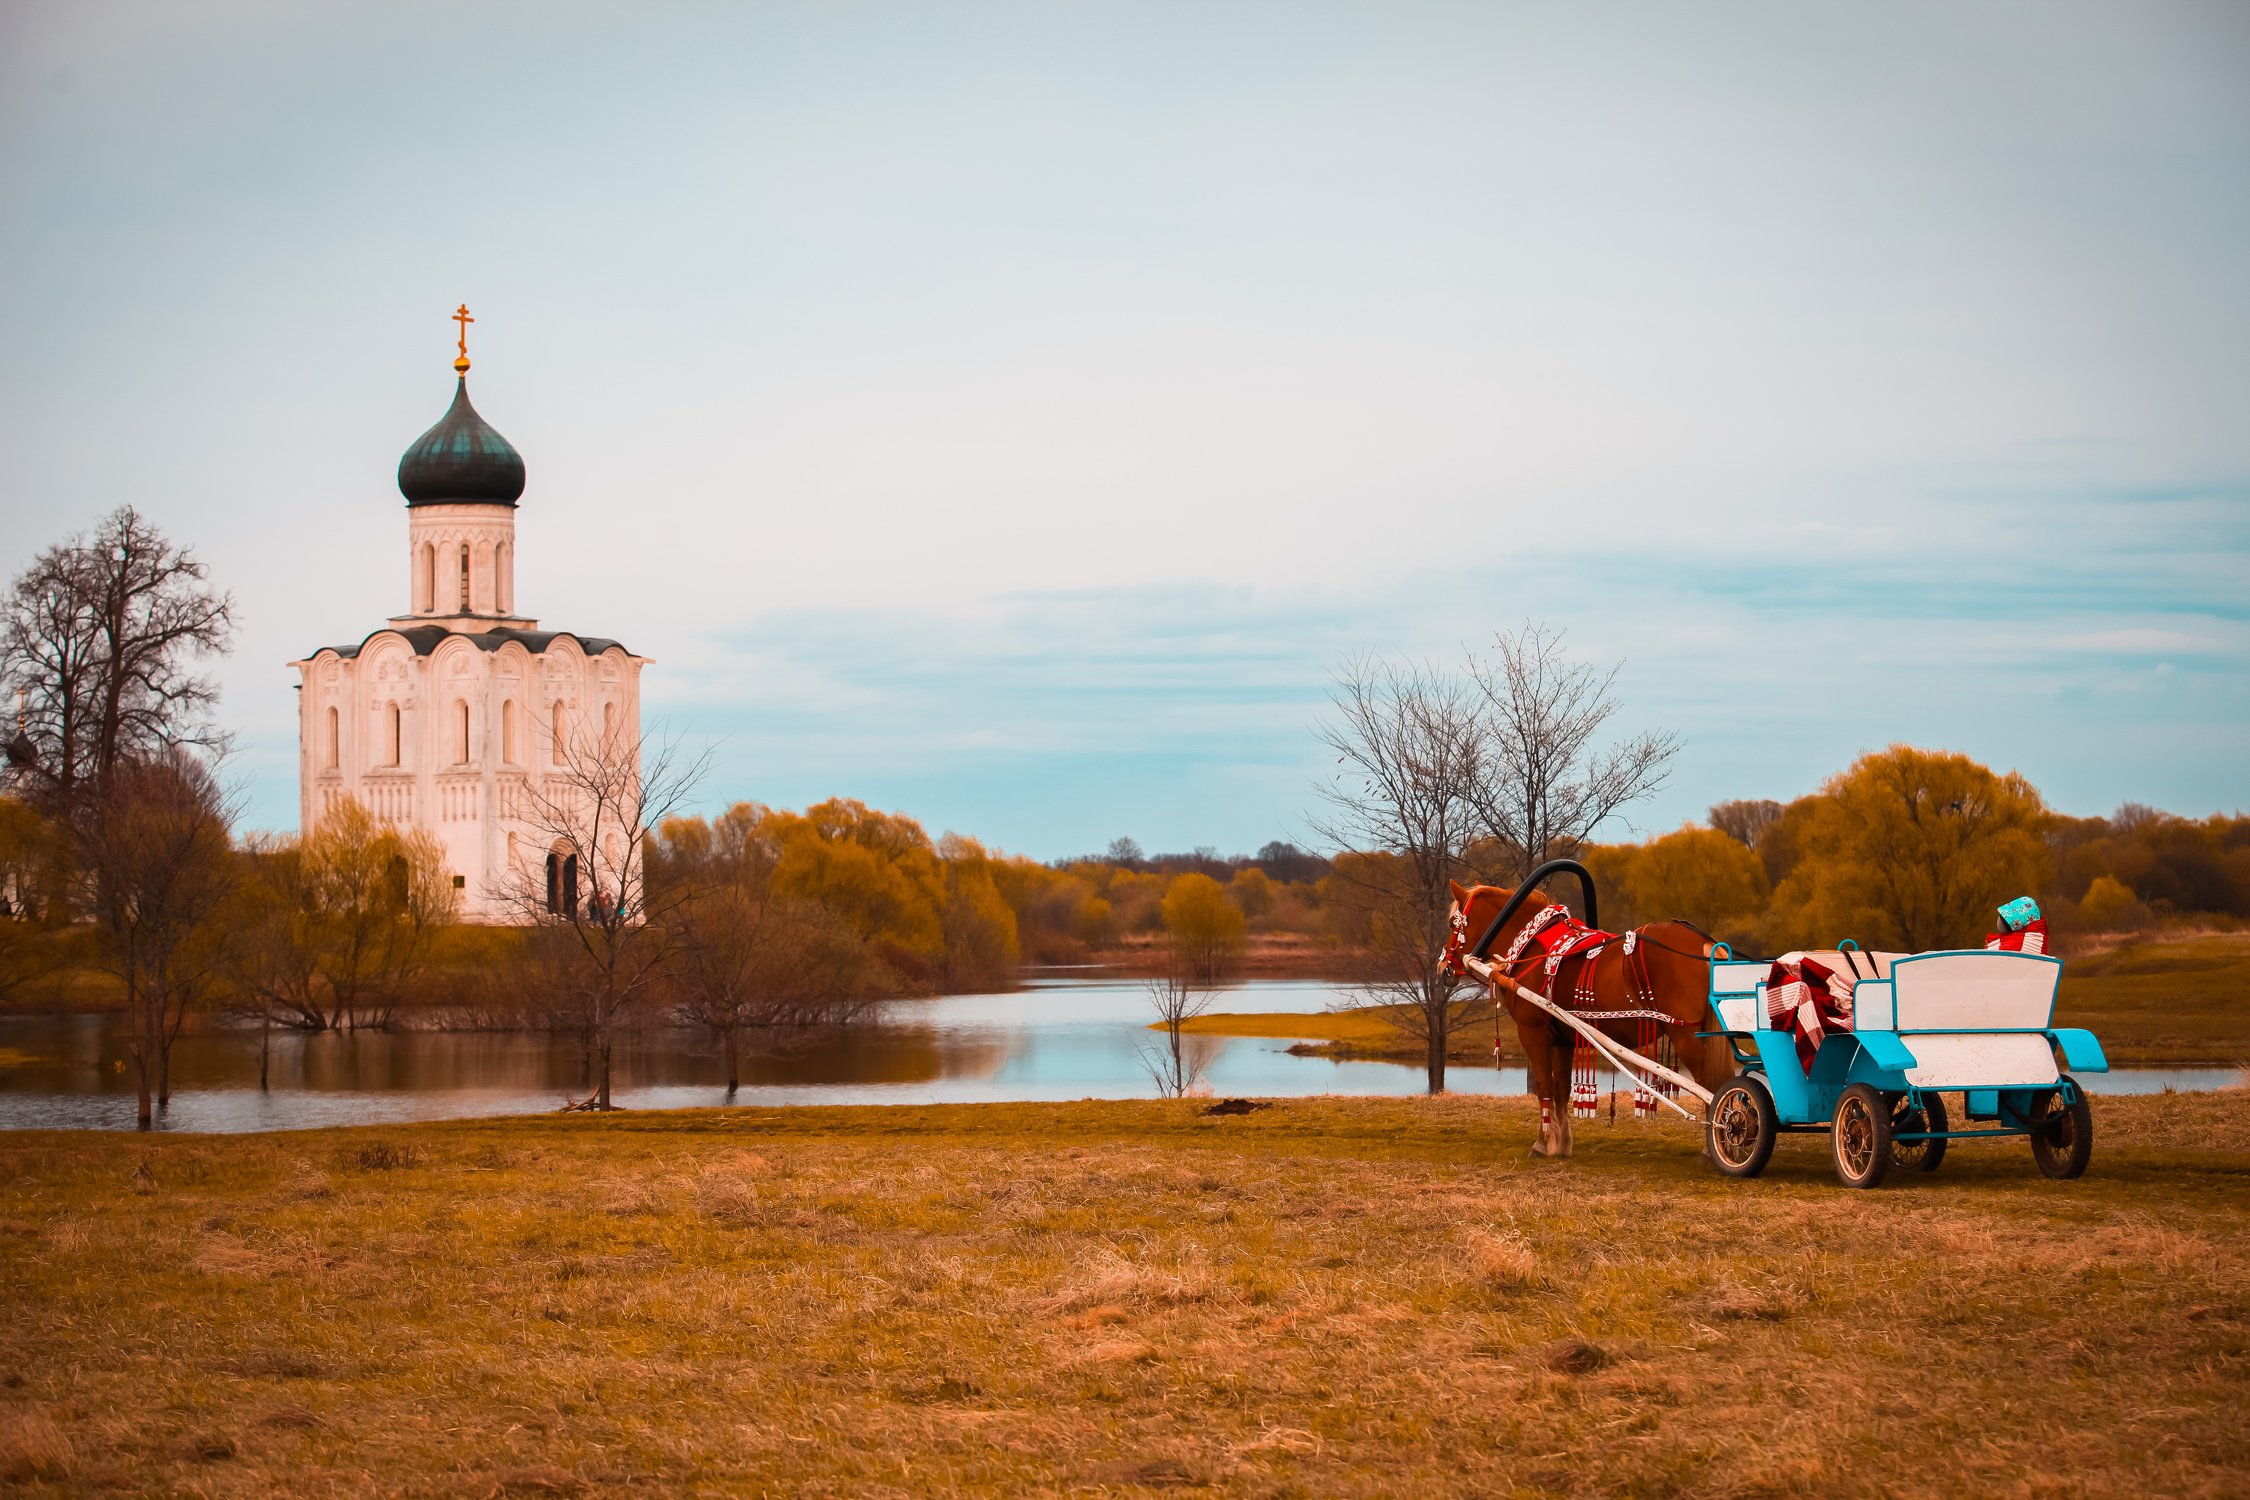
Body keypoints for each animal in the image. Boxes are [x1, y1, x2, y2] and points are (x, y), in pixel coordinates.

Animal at [1440, 881, 1737, 1160]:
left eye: (1454, 923)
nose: (1443, 966)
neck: (1533, 946)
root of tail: (1706, 944)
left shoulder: (1532, 1030)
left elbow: (1543, 1085)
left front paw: (1543, 1142)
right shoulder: (1561, 1039)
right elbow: (1560, 1088)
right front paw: (1560, 1143)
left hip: (1686, 1036)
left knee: (1712, 1085)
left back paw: (1716, 1143)